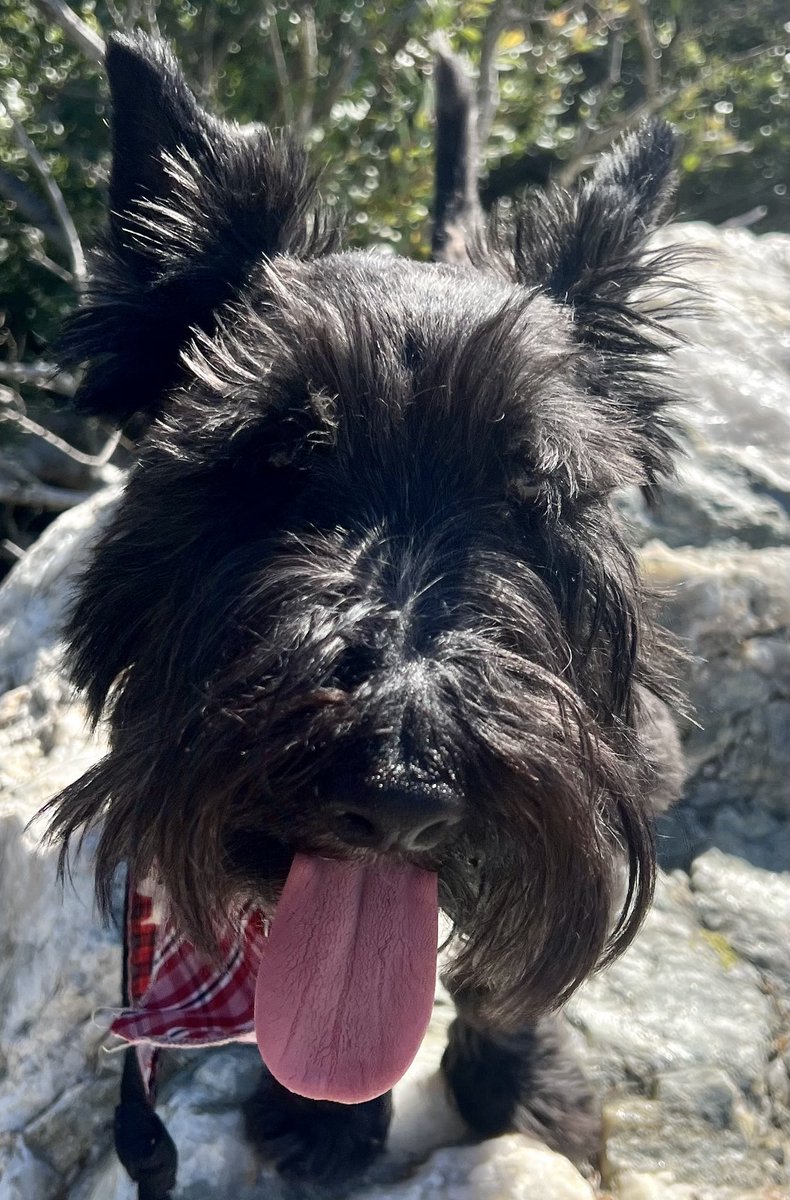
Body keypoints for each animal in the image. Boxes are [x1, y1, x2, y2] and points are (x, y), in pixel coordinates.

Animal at [44, 32, 681, 1195]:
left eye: (529, 492)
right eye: (274, 464)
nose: (400, 788)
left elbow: (511, 977)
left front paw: (524, 1089)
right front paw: (323, 1117)